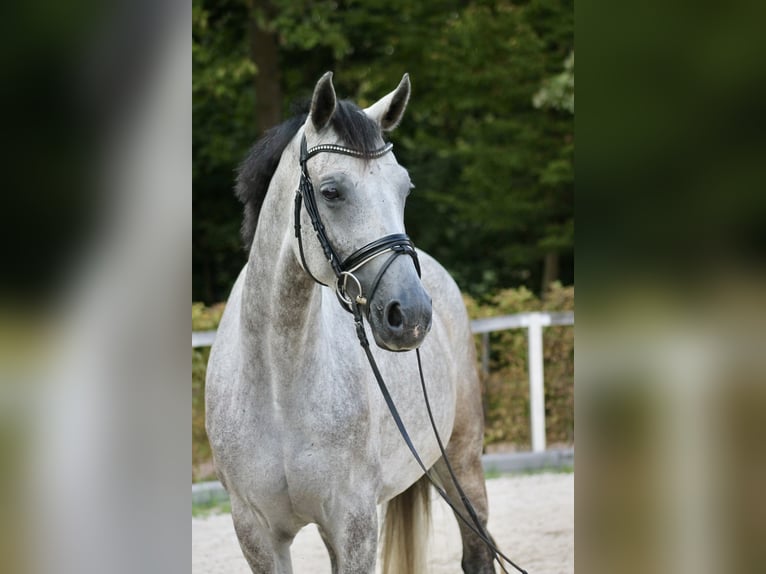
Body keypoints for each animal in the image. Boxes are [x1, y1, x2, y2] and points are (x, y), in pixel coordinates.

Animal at [207, 73, 496, 574]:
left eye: (405, 189)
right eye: (331, 192)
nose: (411, 315)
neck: (278, 385)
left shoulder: (354, 523)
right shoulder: (255, 533)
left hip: (460, 462)